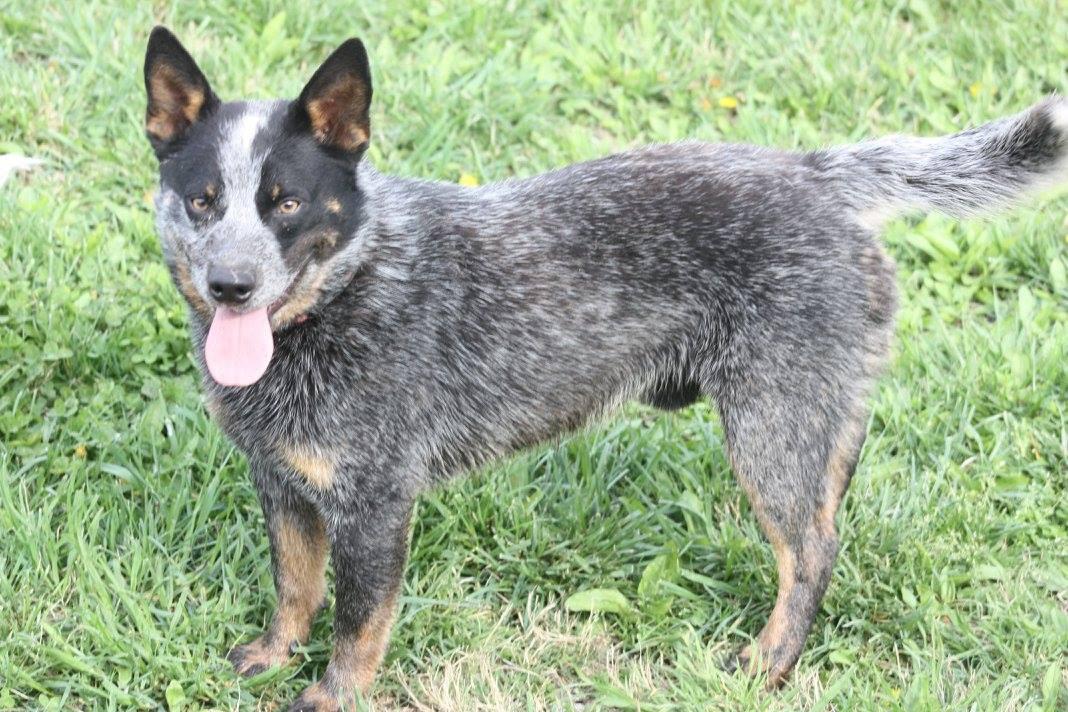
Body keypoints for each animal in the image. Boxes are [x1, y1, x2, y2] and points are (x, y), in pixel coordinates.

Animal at [144, 25, 1068, 708]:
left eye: (287, 203)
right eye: (203, 200)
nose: (231, 283)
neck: (348, 295)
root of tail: (818, 172)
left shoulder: (375, 503)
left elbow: (356, 621)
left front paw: (331, 696)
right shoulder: (282, 482)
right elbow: (295, 588)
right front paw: (273, 656)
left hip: (768, 431)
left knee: (810, 550)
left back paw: (767, 665)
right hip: (820, 423)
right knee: (831, 518)